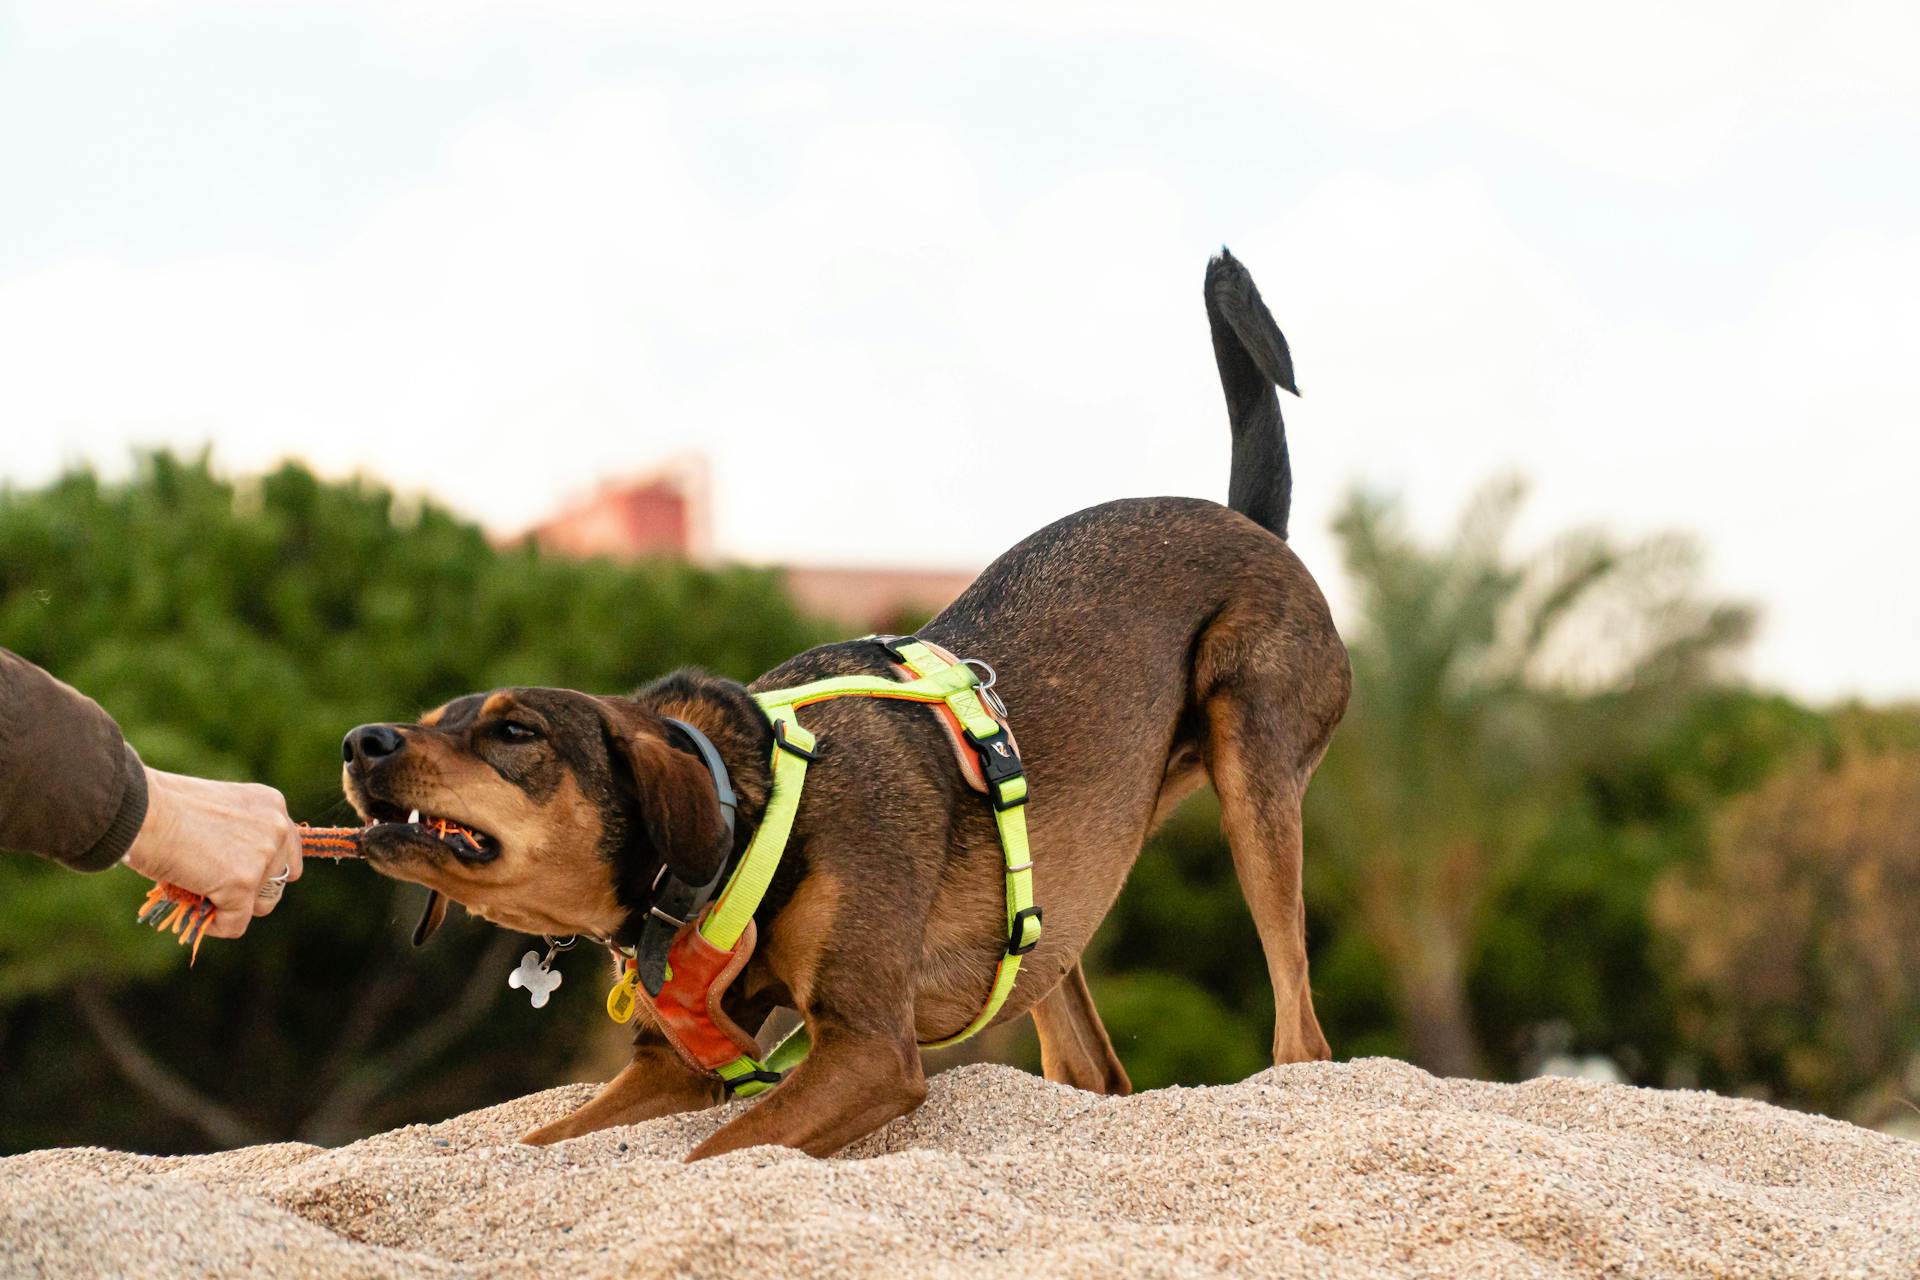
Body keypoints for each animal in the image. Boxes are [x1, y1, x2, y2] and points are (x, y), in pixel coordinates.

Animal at [345, 249, 1359, 1159]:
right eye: (434, 720)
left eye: (516, 730)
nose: (361, 742)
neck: (744, 810)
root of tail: (1250, 525)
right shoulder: (677, 1066)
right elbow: (537, 1143)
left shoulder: (869, 1053)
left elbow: (714, 1156)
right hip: (1050, 902)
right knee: (1093, 1070)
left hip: (1253, 779)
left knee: (1303, 1041)